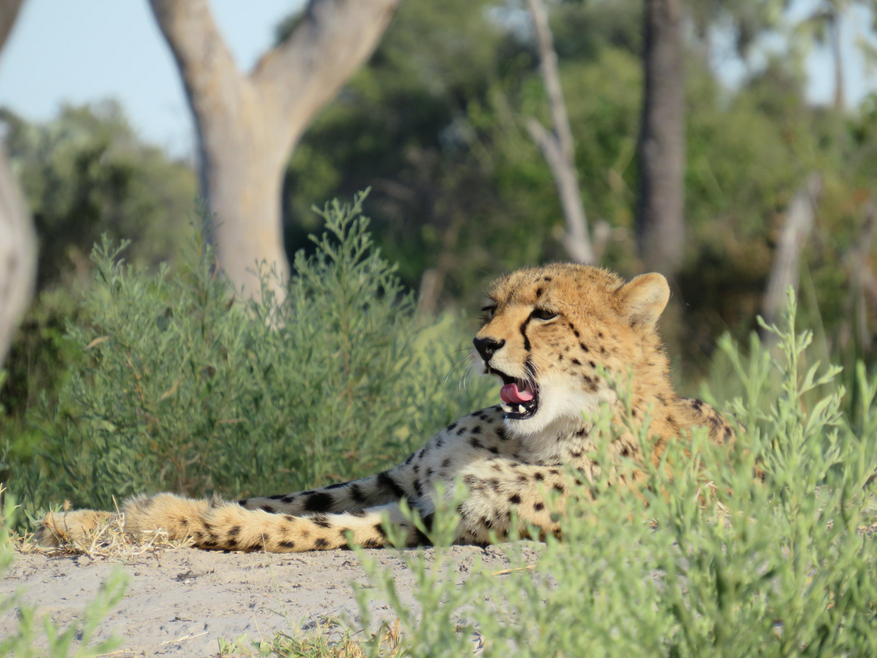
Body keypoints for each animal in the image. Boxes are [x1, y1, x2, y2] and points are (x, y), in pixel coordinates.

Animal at [36, 264, 732, 552]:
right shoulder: (403, 478)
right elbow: (290, 498)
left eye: (545, 313)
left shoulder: (442, 515)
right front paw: (89, 518)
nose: (483, 344)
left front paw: (167, 516)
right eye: (490, 308)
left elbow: (300, 525)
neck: (536, 434)